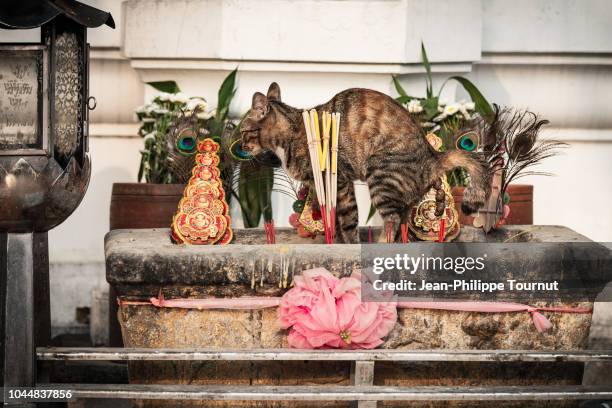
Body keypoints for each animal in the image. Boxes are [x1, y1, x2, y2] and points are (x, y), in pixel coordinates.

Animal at [240, 83, 492, 242]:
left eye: (243, 132)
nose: (240, 145)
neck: (291, 132)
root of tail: (432, 156)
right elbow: (333, 220)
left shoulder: (340, 182)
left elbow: (347, 219)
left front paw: (348, 245)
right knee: (401, 224)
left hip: (380, 172)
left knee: (391, 220)